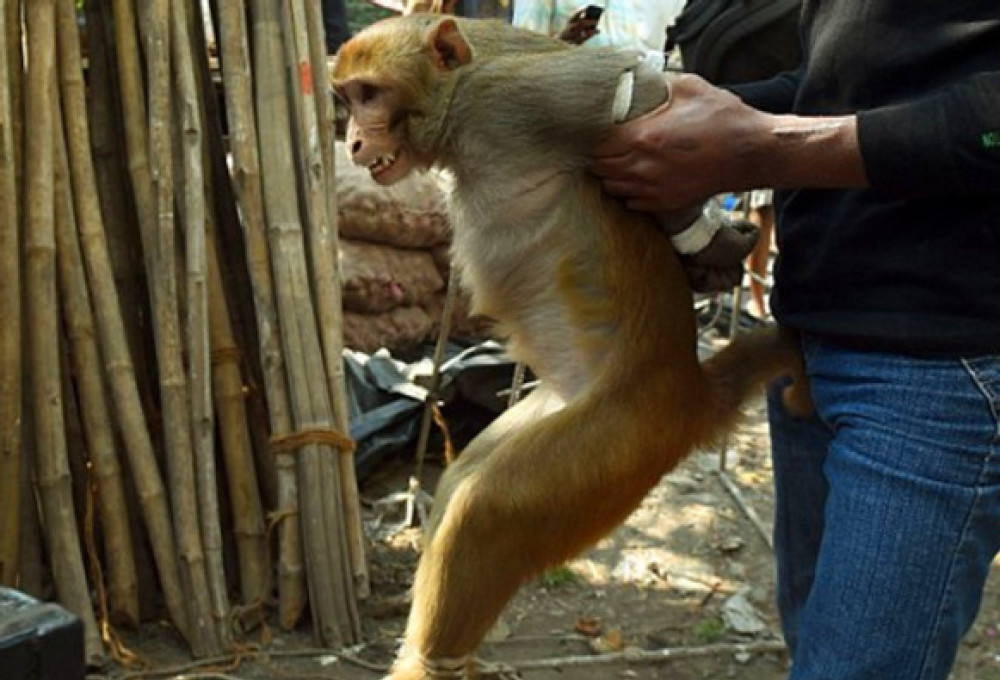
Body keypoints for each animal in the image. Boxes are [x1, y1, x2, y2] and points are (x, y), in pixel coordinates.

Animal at [332, 15, 808, 680]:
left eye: (369, 94)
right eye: (347, 97)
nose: (352, 140)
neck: (458, 106)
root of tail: (689, 388)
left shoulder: (512, 102)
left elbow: (643, 95)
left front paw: (705, 239)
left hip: (619, 441)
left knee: (484, 513)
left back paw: (429, 660)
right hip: (574, 420)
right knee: (463, 483)